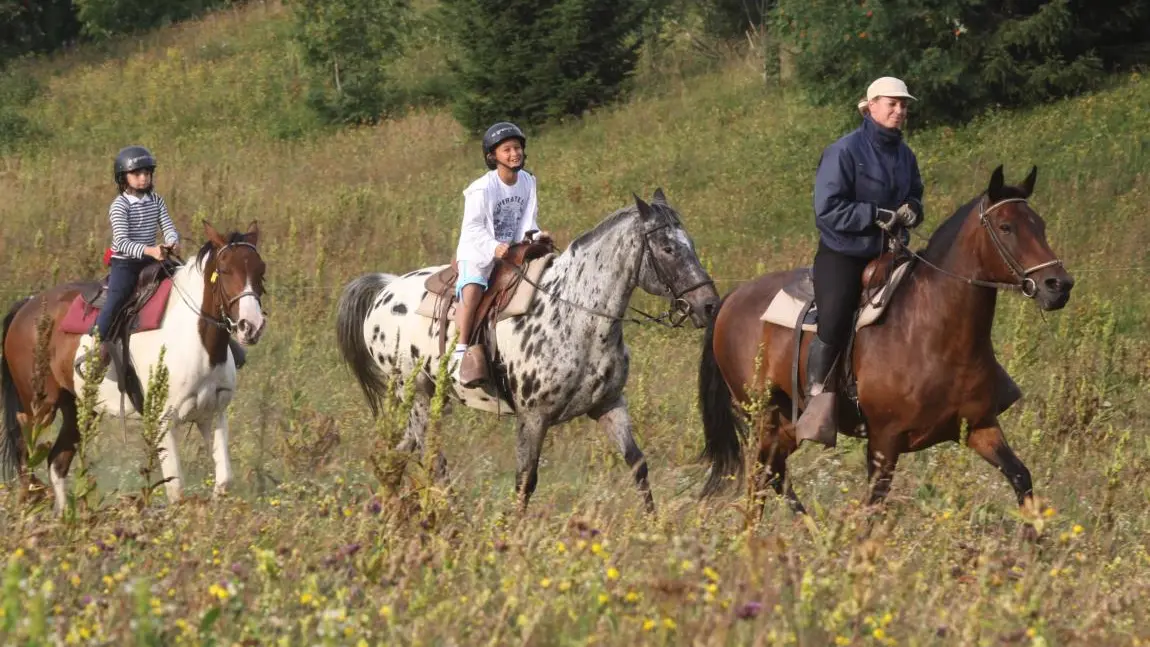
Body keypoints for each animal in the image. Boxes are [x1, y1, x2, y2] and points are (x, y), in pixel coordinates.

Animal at [1, 222, 267, 513]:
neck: (196, 340)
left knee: (56, 462)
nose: (251, 327)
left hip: (80, 408)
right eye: (225, 270)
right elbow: (176, 491)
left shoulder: (213, 415)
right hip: (40, 406)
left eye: (260, 270)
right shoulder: (163, 421)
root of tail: (27, 305)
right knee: (25, 453)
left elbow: (224, 480)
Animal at [337, 191, 719, 513]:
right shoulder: (533, 417)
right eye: (668, 249)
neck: (575, 314)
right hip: (414, 393)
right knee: (432, 460)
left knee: (397, 454)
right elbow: (525, 481)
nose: (709, 305)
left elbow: (638, 464)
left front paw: (655, 527)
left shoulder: (609, 404)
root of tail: (386, 289)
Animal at [698, 166, 1074, 520]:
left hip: (787, 425)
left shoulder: (980, 427)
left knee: (774, 475)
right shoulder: (883, 442)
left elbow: (1021, 477)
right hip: (763, 417)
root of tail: (732, 299)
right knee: (760, 480)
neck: (934, 334)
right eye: (1006, 226)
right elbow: (871, 510)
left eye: (1039, 225)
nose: (1058, 285)